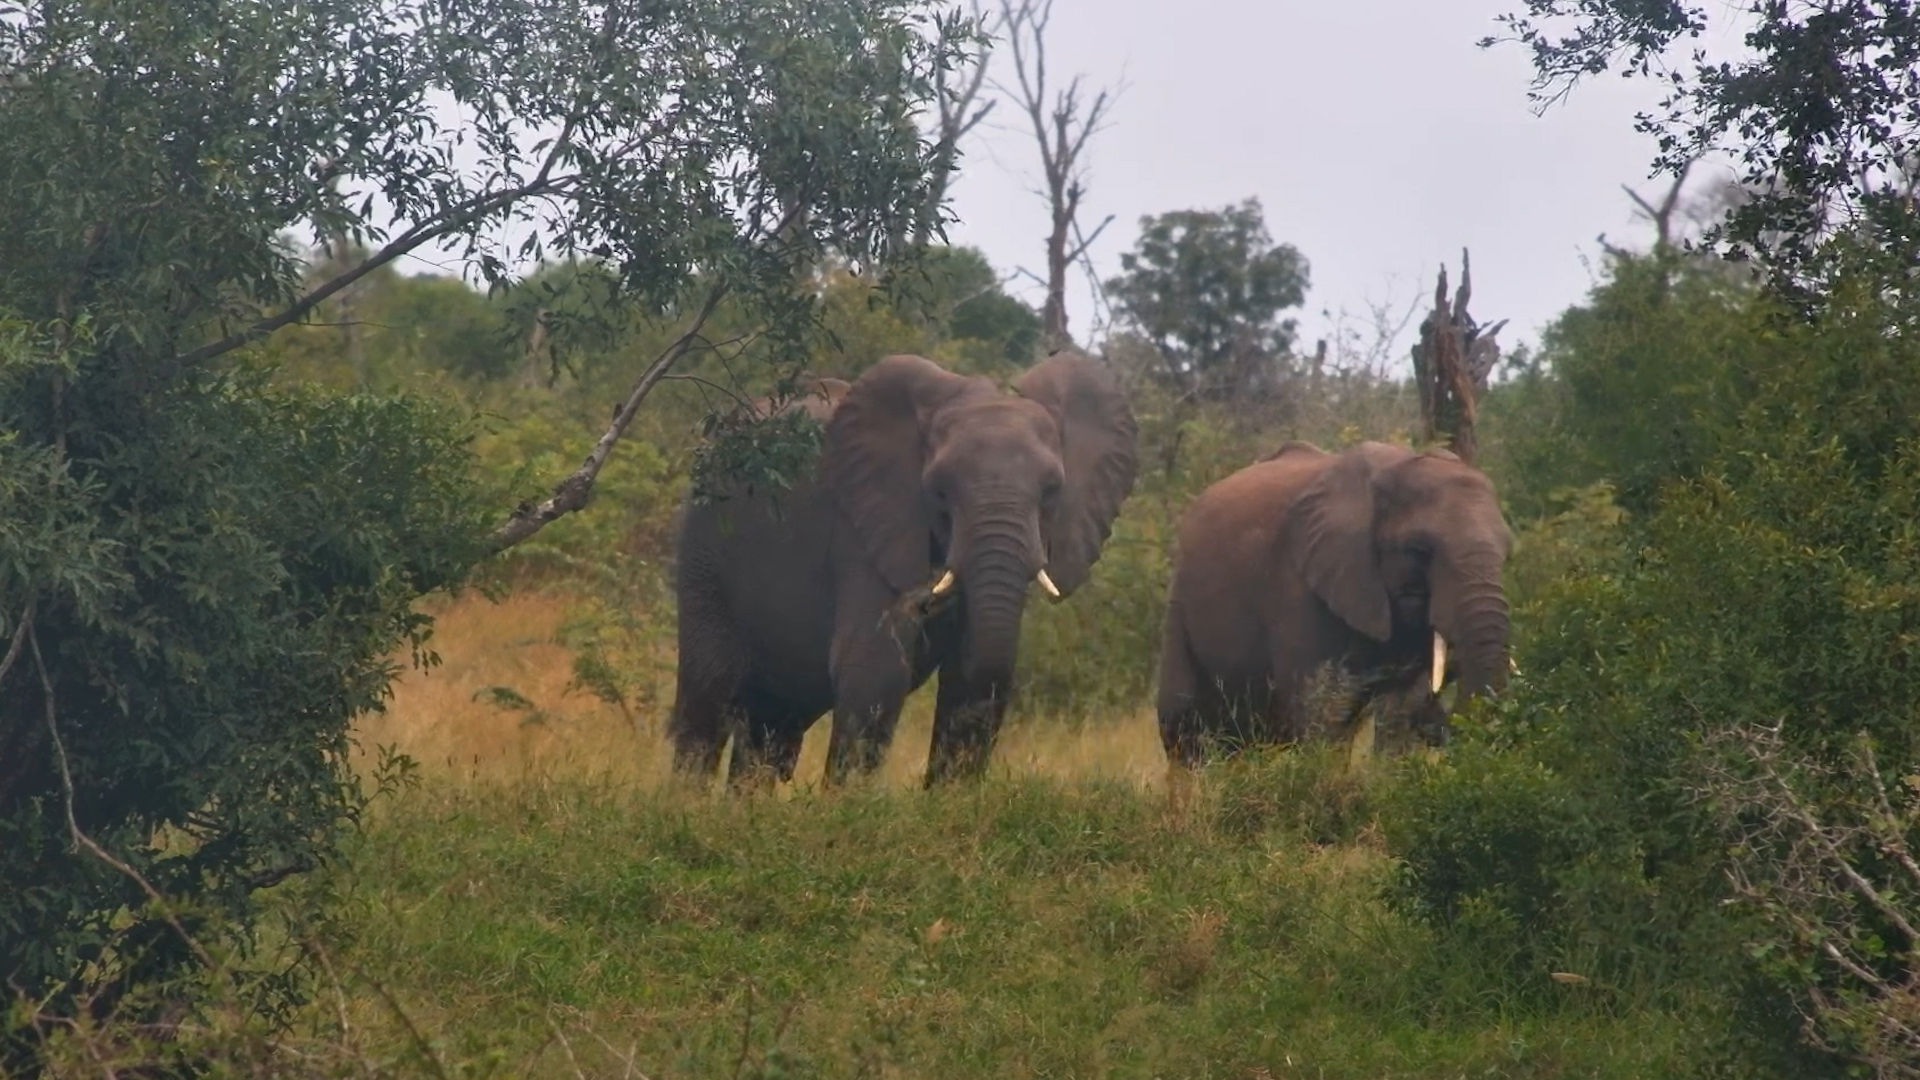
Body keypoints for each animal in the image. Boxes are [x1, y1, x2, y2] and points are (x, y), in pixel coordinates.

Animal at [670, 350, 1138, 788]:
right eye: (940, 491)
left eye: (1052, 491)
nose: (926, 601)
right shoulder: (863, 525)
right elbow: (875, 668)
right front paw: (849, 807)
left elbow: (969, 680)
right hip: (703, 555)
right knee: (707, 701)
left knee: (772, 730)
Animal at [1155, 439, 1512, 766]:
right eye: (1418, 550)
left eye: (1507, 550)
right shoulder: (1299, 584)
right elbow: (1321, 716)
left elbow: (1401, 710)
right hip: (1179, 602)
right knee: (1182, 731)